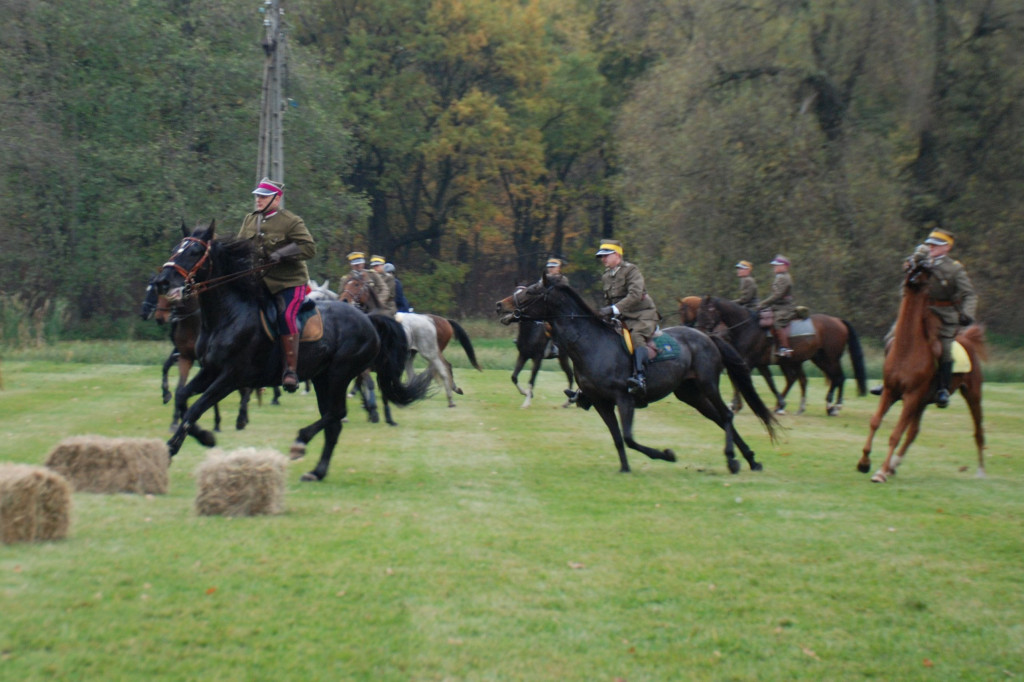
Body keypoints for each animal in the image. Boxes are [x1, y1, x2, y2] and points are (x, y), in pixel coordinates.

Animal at [149, 220, 430, 481]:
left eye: (195, 251)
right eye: (176, 249)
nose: (163, 281)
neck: (229, 315)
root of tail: (368, 319)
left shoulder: (231, 377)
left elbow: (196, 407)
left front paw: (178, 446)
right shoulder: (209, 370)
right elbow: (183, 398)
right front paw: (201, 436)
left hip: (338, 375)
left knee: (336, 413)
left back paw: (301, 441)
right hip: (322, 378)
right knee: (333, 423)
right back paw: (317, 471)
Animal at [495, 276, 774, 473]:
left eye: (530, 292)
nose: (500, 305)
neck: (590, 343)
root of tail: (706, 336)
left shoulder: (624, 399)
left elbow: (628, 437)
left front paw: (666, 454)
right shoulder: (601, 402)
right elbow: (618, 438)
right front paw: (625, 468)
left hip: (708, 384)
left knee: (726, 415)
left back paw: (733, 460)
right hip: (690, 393)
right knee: (718, 418)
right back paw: (751, 460)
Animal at [688, 292, 864, 413]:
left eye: (707, 311)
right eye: (698, 312)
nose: (699, 331)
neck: (747, 327)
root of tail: (838, 321)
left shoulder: (748, 362)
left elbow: (741, 381)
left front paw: (735, 404)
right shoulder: (758, 364)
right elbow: (769, 382)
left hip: (829, 358)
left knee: (838, 378)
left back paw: (833, 406)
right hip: (817, 359)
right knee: (814, 378)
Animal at [851, 259, 987, 477]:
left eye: (927, 271)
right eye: (911, 264)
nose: (913, 275)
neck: (907, 349)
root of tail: (967, 339)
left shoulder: (911, 397)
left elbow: (896, 434)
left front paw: (880, 472)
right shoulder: (890, 391)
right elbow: (875, 422)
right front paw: (864, 462)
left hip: (972, 395)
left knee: (978, 430)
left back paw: (981, 471)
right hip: (922, 402)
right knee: (913, 432)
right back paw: (894, 465)